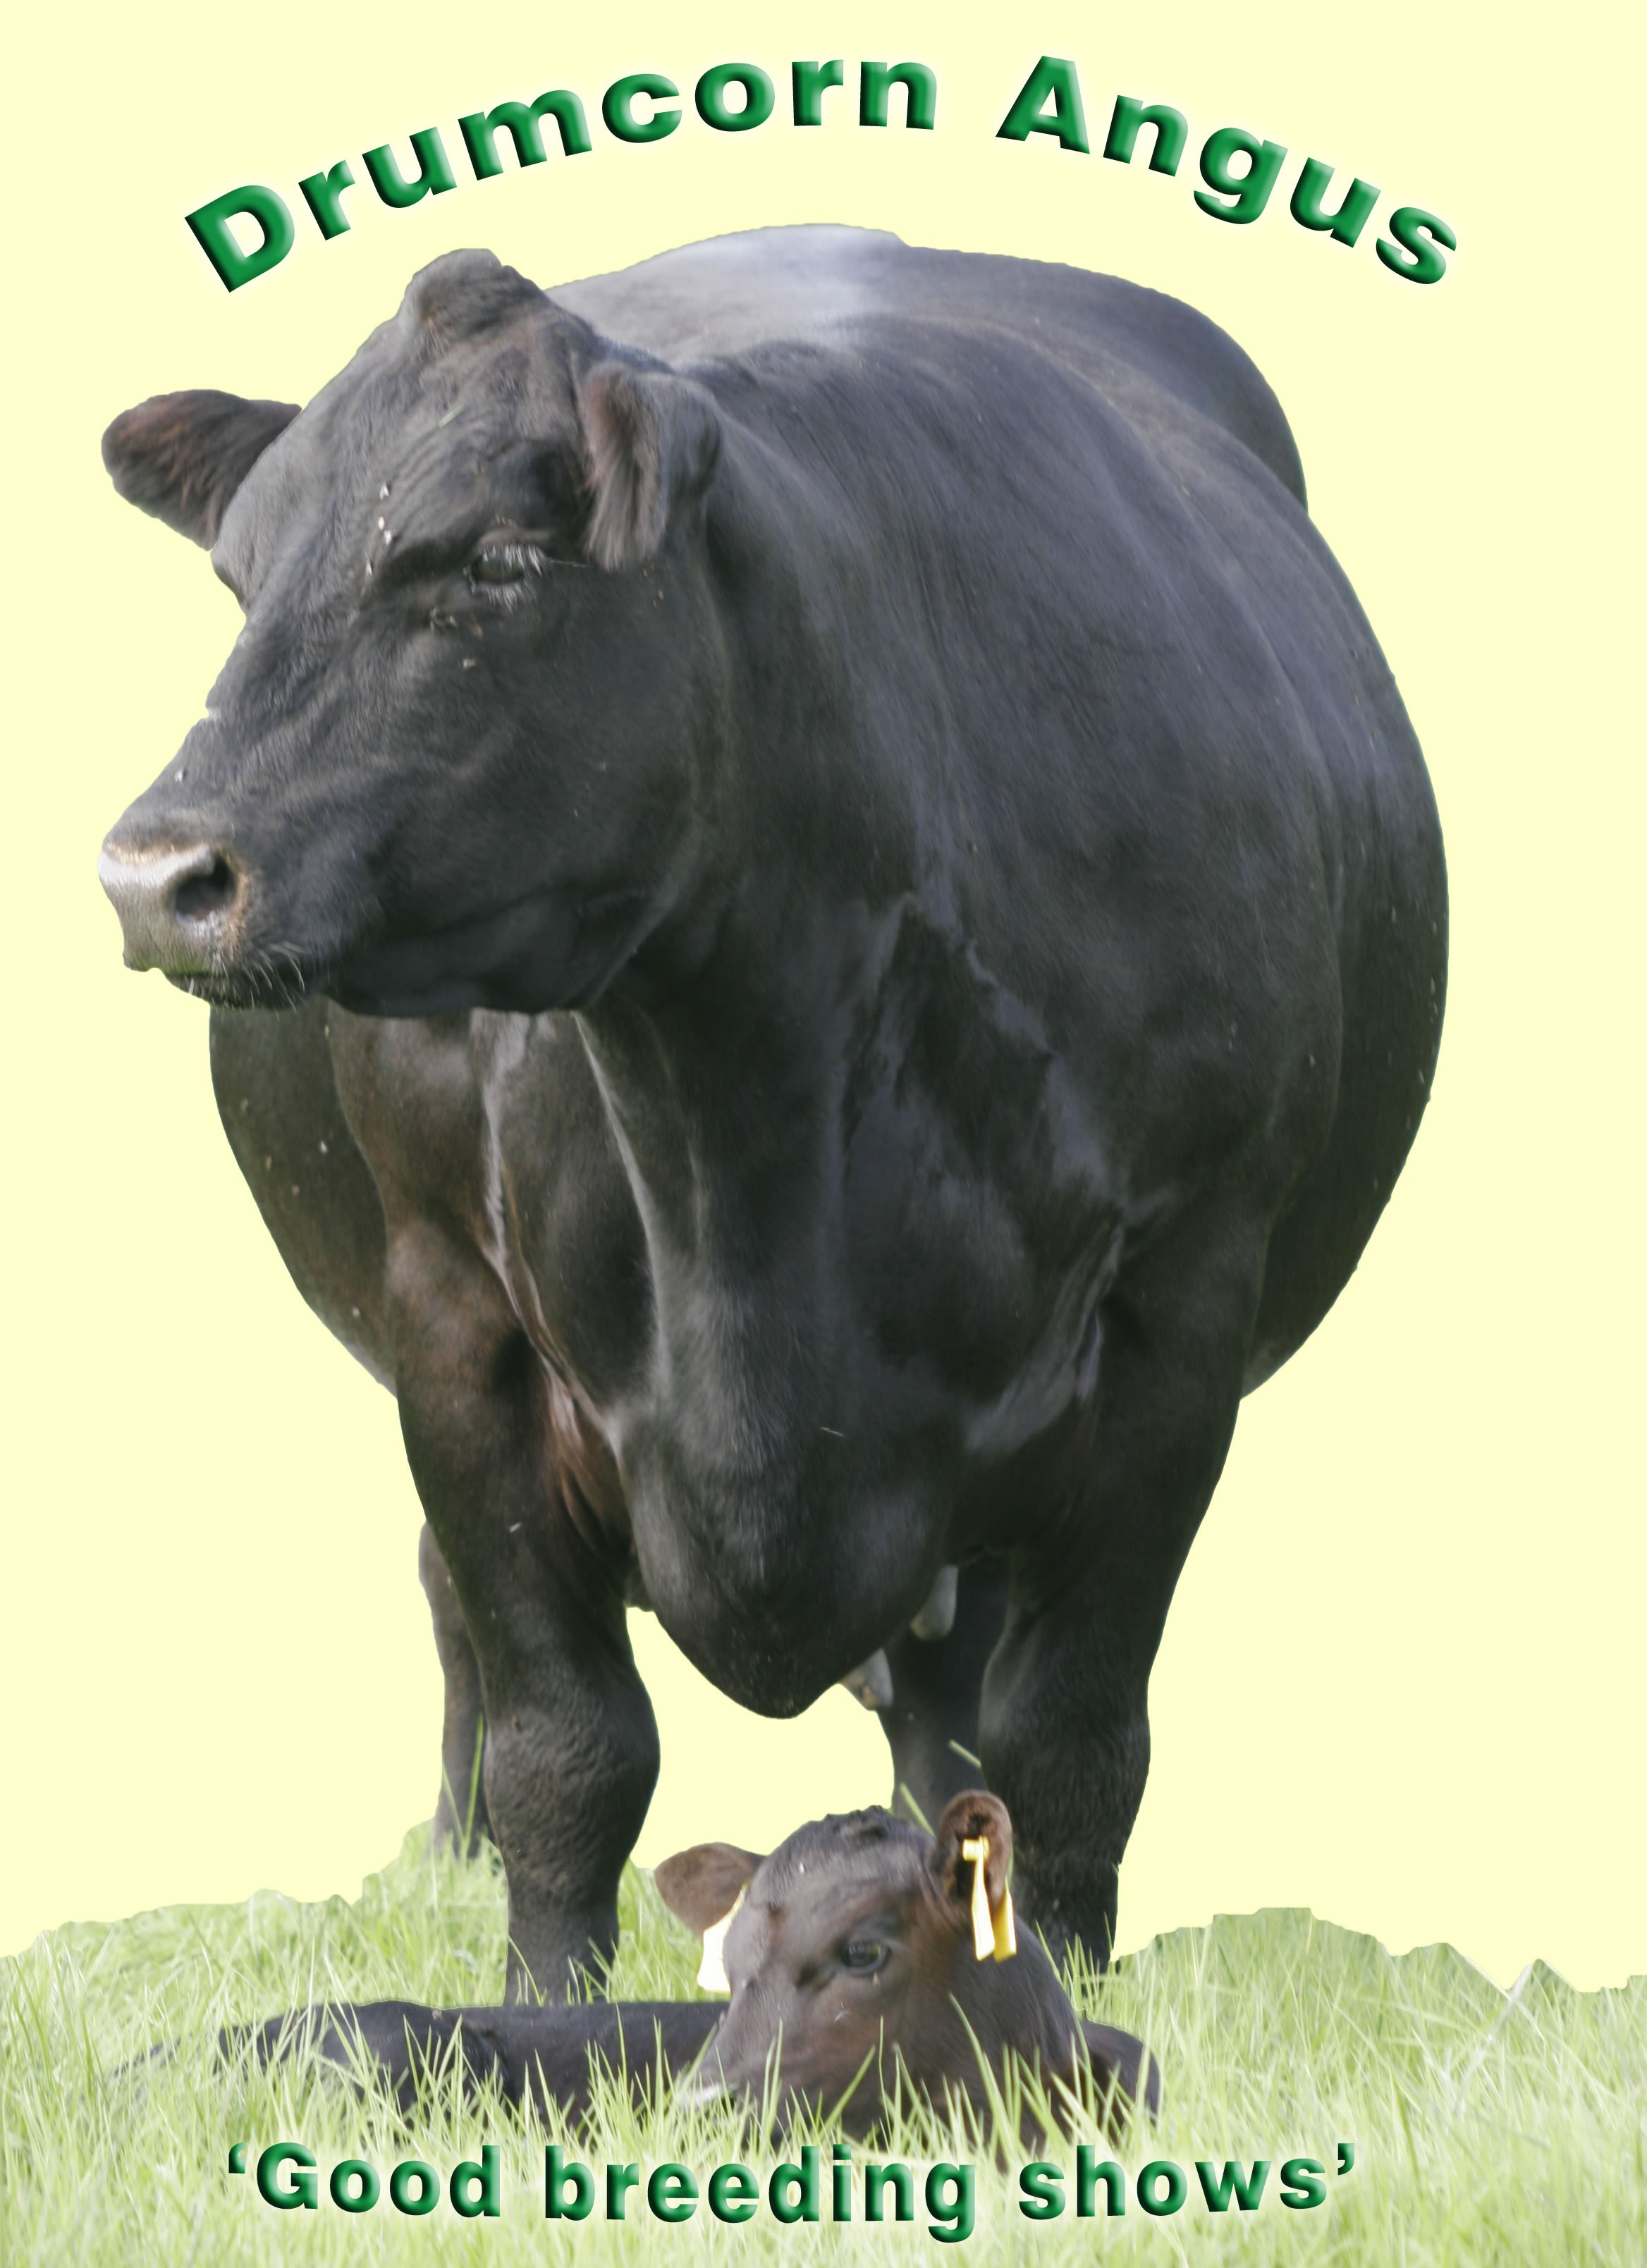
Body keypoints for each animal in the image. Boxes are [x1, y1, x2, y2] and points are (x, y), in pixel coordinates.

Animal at [97, 225, 1447, 2002]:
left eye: (499, 562)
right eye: (242, 585)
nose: (157, 874)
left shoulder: (1180, 1310)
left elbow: (1067, 1734)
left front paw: (1046, 1998)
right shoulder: (452, 1312)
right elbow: (566, 1740)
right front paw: (540, 2008)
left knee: (950, 1715)